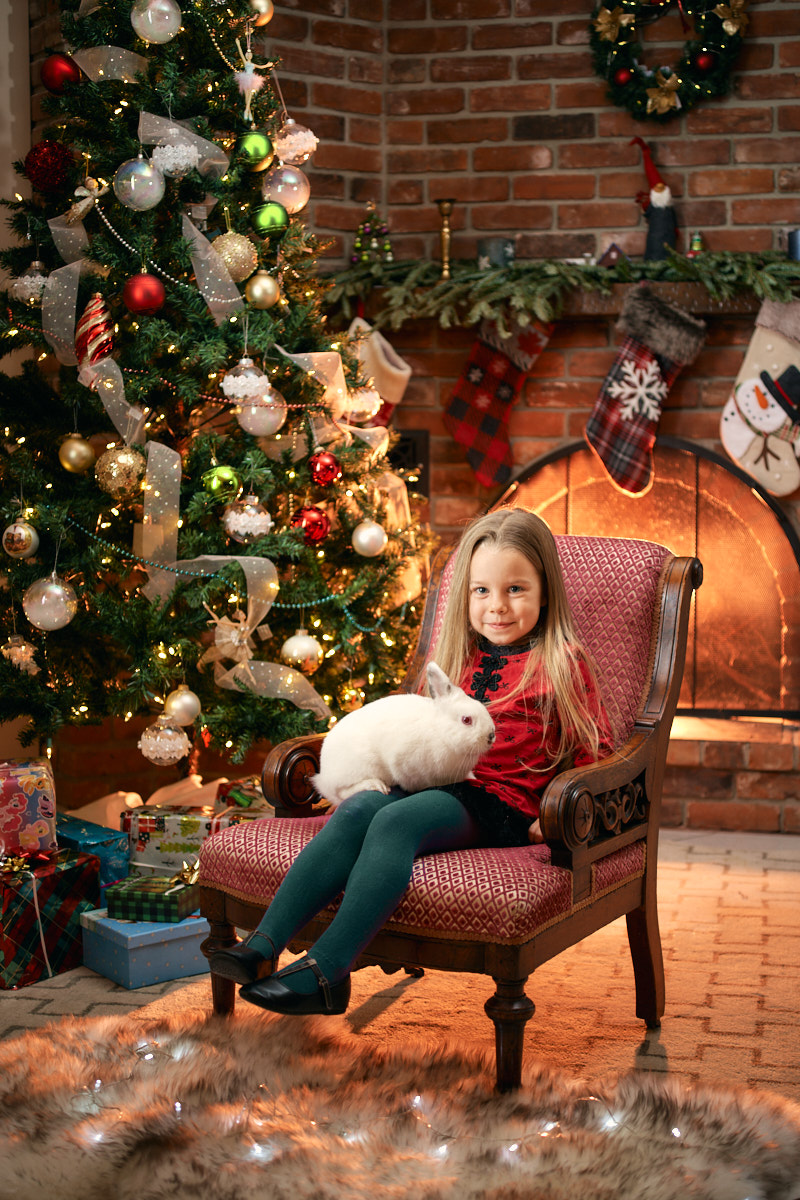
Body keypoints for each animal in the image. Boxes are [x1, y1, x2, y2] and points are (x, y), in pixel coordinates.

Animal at [311, 667, 494, 806]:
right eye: (466, 720)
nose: (491, 736)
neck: (440, 732)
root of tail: (324, 773)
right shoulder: (405, 766)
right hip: (360, 767)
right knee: (342, 791)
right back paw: (375, 785)